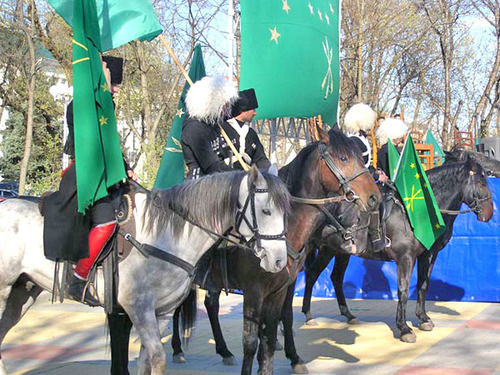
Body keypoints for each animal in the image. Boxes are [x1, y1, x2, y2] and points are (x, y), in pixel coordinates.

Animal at [0, 168, 290, 375]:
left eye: (286, 212)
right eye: (266, 210)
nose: (279, 261)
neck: (167, 236)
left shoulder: (161, 313)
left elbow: (145, 361)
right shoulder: (138, 308)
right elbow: (158, 359)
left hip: (22, 294)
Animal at [107, 130, 380, 375]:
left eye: (360, 156)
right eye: (343, 158)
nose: (373, 197)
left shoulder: (282, 288)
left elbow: (276, 329)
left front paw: (289, 358)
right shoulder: (254, 291)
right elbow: (252, 341)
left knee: (207, 306)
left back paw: (222, 351)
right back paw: (178, 350)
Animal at [300, 157, 492, 346]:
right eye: (481, 183)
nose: (490, 213)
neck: (417, 212)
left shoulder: (427, 255)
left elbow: (423, 285)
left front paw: (423, 319)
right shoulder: (405, 258)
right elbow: (403, 290)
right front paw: (404, 328)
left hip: (341, 252)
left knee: (336, 278)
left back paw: (349, 315)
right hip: (324, 251)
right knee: (312, 275)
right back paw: (308, 315)